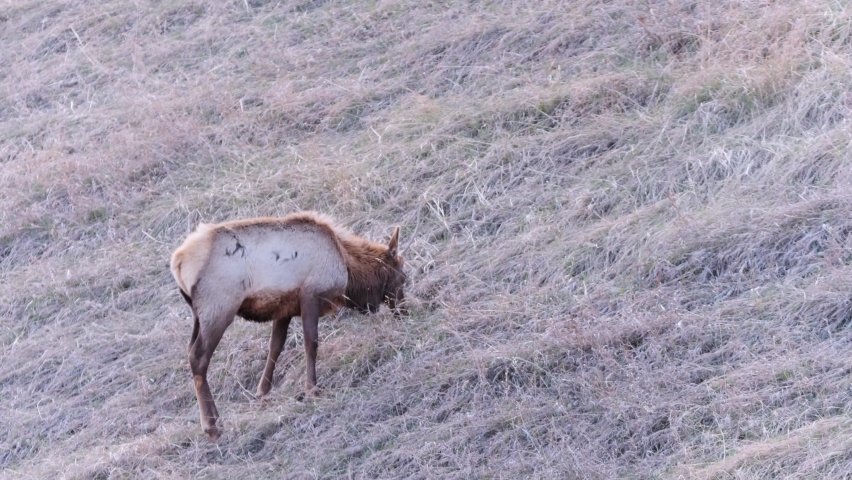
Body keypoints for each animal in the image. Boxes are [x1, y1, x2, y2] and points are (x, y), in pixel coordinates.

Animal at [170, 212, 407, 440]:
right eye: (402, 277)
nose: (405, 311)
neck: (347, 268)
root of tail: (178, 263)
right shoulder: (310, 295)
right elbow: (311, 344)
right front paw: (312, 390)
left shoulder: (284, 308)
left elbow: (276, 347)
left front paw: (262, 391)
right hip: (218, 308)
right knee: (198, 358)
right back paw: (212, 426)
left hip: (198, 316)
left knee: (190, 351)